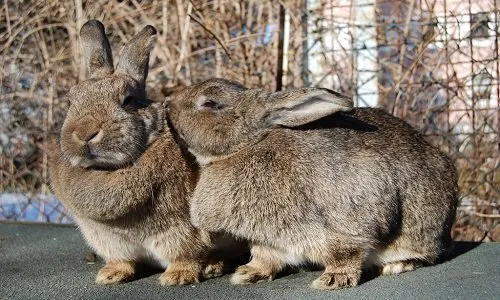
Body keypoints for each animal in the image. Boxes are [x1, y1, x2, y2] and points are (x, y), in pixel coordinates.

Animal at [47, 20, 239, 286]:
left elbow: (188, 253)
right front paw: (110, 275)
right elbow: (122, 260)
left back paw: (213, 266)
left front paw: (177, 277)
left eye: (127, 100)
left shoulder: (182, 230)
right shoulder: (108, 240)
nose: (85, 133)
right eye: (70, 100)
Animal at [163, 78, 458, 290]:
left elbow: (347, 252)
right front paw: (248, 274)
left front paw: (333, 280)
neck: (246, 146)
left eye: (210, 103)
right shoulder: (266, 238)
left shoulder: (349, 221)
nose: (167, 104)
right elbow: (264, 256)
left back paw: (395, 266)